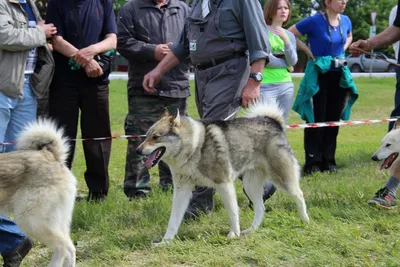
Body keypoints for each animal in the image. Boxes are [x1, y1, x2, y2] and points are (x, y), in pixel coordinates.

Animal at [138, 101, 310, 247]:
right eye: (146, 136)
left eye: (156, 137)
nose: (138, 150)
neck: (194, 147)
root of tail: (272, 121)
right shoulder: (182, 190)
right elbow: (173, 220)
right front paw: (165, 242)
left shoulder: (224, 183)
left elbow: (232, 213)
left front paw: (234, 234)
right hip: (250, 185)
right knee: (260, 208)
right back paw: (251, 230)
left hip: (282, 177)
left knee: (299, 195)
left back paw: (305, 221)